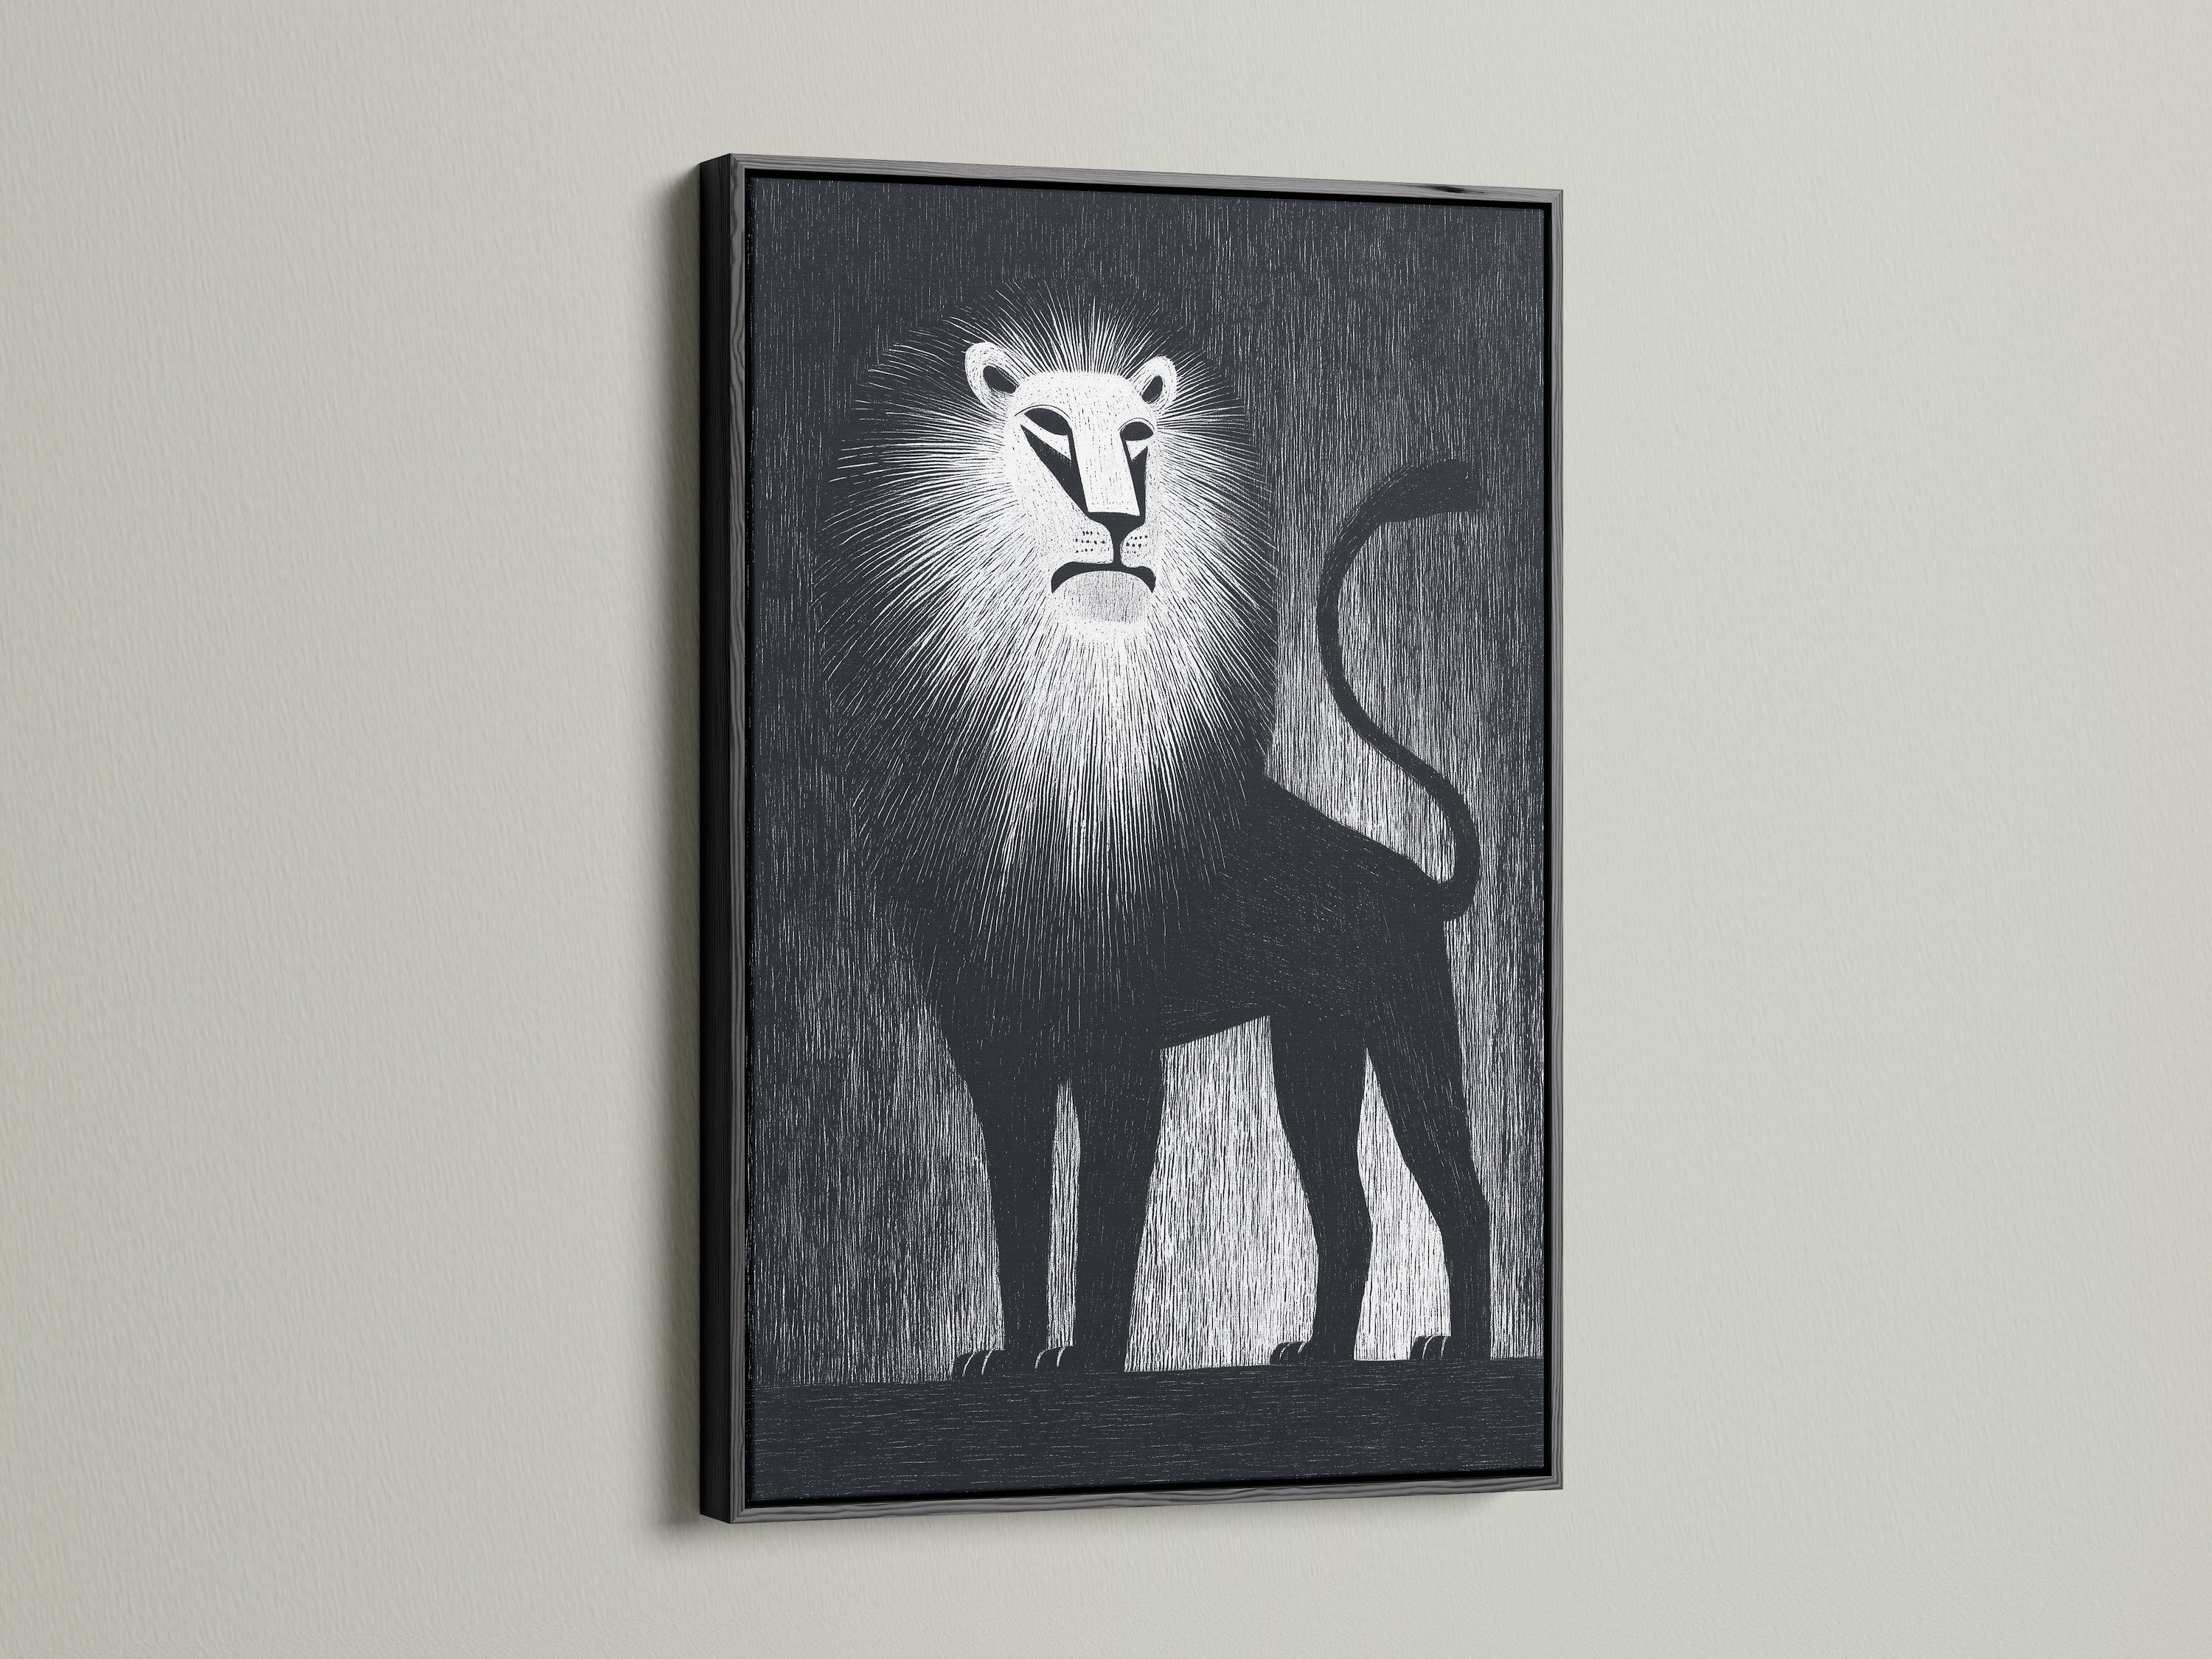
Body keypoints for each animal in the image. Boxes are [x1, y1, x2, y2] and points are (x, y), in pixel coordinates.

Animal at [820, 295, 1492, 1376]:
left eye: (1138, 440)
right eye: (1046, 433)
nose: (1118, 523)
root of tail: (1405, 876)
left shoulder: (1119, 1060)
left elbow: (1103, 1224)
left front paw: (1087, 1362)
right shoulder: (1000, 1062)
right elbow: (1019, 1227)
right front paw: (1013, 1358)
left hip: (1406, 1035)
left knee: (1460, 1199)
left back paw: (1457, 1348)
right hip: (1313, 1050)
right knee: (1348, 1214)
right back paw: (1320, 1353)